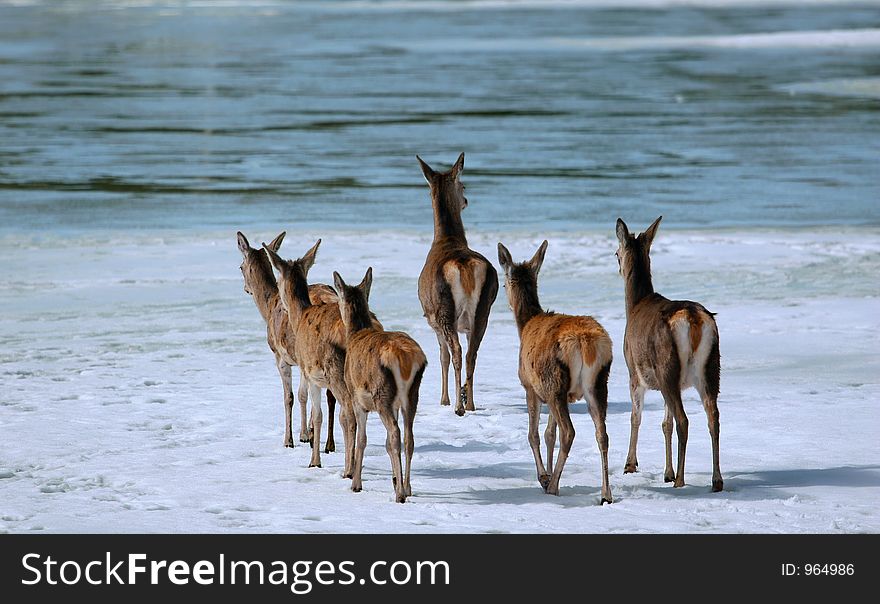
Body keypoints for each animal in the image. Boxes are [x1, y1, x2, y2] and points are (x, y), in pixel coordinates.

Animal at [235, 231, 338, 452]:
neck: (268, 307)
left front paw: (292, 438)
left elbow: (291, 396)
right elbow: (303, 394)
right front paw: (306, 433)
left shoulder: (280, 355)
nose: (246, 288)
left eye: (240, 266)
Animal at [332, 266, 424, 502]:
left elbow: (362, 439)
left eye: (339, 298)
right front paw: (394, 479)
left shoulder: (357, 398)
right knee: (409, 437)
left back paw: (400, 494)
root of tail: (405, 358)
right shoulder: (396, 404)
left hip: (381, 395)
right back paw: (407, 487)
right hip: (411, 395)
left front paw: (356, 483)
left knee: (395, 434)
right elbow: (384, 444)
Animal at [418, 152, 498, 416]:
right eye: (463, 185)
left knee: (456, 352)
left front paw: (443, 399)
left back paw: (458, 406)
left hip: (444, 310)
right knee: (472, 352)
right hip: (484, 309)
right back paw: (470, 403)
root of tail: (465, 266)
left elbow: (441, 356)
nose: (465, 200)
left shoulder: (432, 320)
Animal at [498, 238, 616, 502]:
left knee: (569, 432)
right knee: (602, 434)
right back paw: (606, 494)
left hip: (554, 382)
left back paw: (552, 487)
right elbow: (548, 434)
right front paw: (550, 473)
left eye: (503, 282)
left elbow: (533, 434)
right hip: (596, 383)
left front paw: (544, 476)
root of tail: (585, 341)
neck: (525, 325)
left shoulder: (530, 386)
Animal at [620, 216, 720, 490]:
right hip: (709, 367)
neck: (634, 306)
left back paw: (681, 481)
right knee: (713, 417)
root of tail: (694, 319)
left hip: (667, 365)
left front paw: (630, 465)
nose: (618, 265)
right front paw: (667, 472)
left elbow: (636, 417)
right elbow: (665, 423)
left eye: (615, 252)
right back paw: (716, 480)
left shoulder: (633, 371)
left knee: (684, 420)